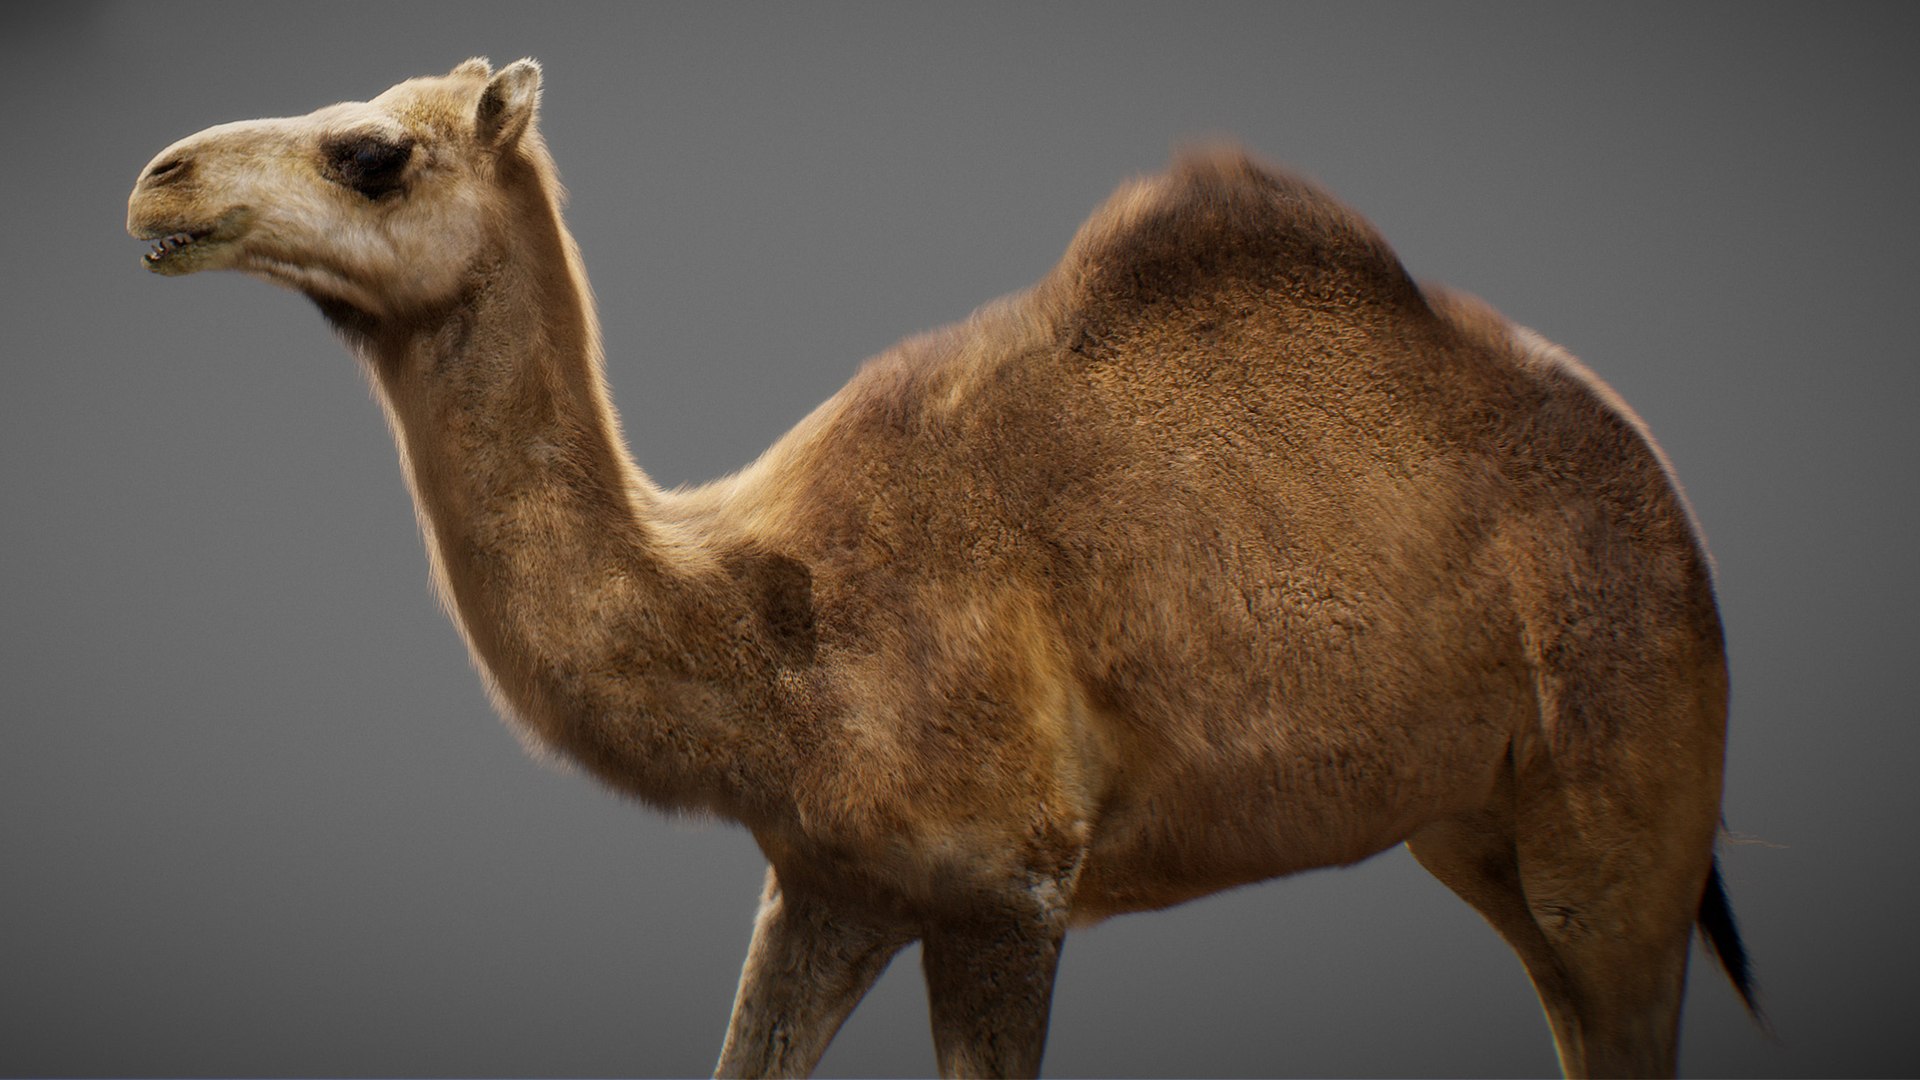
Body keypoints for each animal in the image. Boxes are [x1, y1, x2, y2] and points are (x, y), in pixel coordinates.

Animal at [127, 58, 1756, 1078]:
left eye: (372, 155)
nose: (158, 182)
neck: (769, 621)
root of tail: (1669, 501)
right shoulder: (831, 885)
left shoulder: (1008, 890)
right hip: (1480, 825)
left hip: (1629, 792)